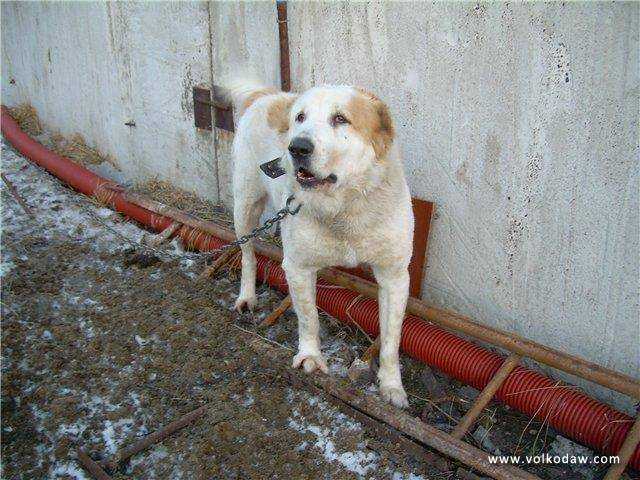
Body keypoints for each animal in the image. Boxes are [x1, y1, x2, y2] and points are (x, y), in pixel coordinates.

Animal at [225, 79, 416, 408]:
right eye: (300, 117)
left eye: (340, 118)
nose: (297, 147)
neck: (344, 208)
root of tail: (268, 95)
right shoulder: (298, 268)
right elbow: (309, 318)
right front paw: (310, 357)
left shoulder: (394, 276)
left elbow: (392, 339)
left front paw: (392, 386)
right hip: (245, 207)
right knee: (248, 254)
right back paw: (247, 296)